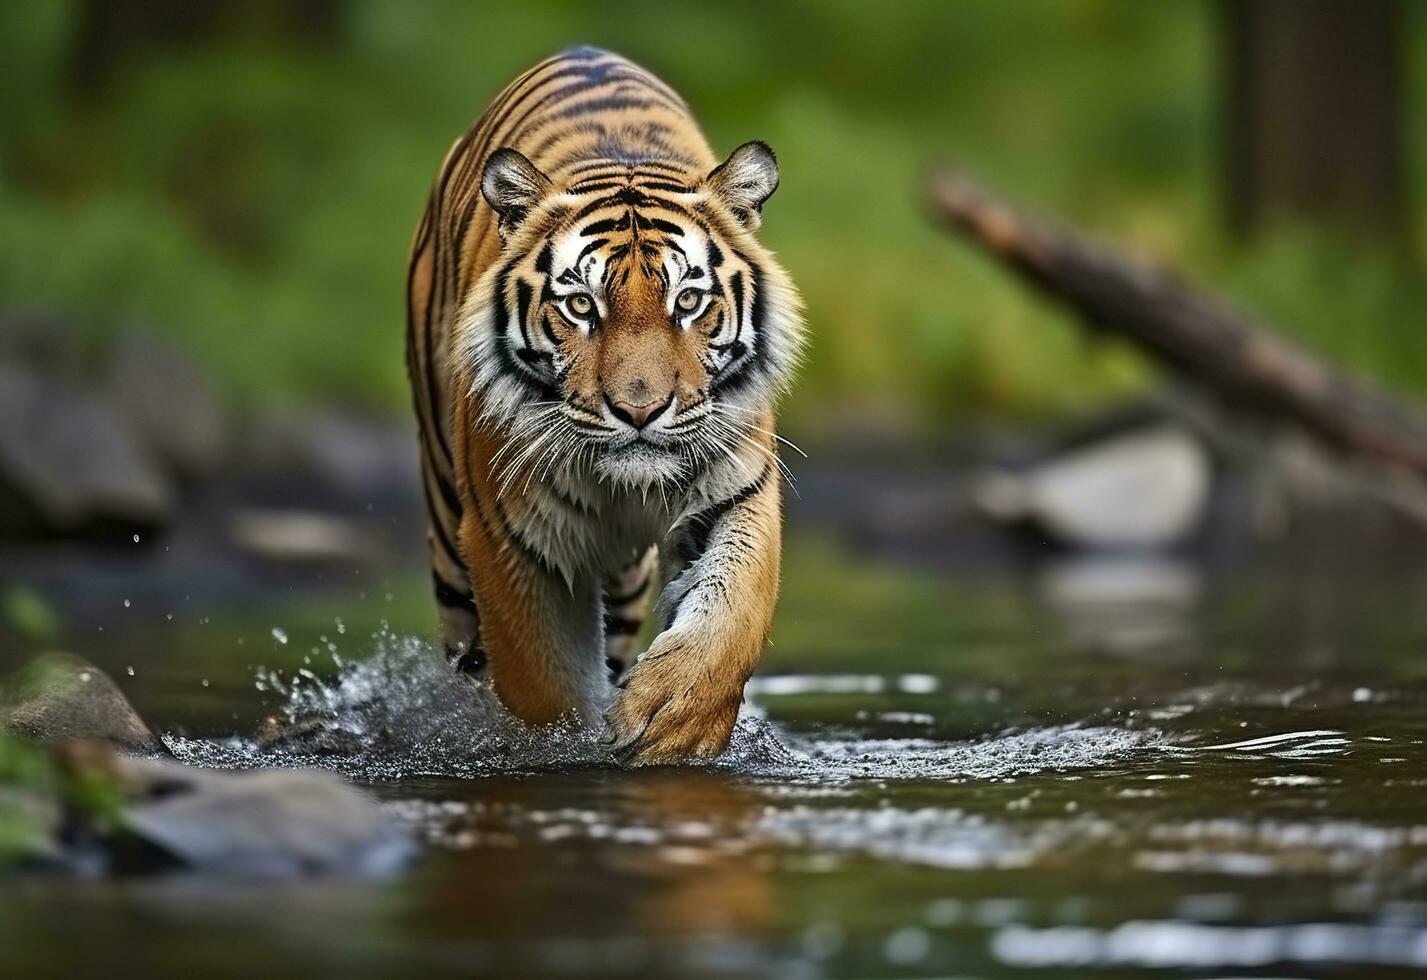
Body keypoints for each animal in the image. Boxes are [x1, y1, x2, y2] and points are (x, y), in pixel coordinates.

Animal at [405, 46, 804, 764]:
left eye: (688, 301)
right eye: (580, 306)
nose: (640, 411)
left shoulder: (740, 487)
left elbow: (731, 616)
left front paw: (673, 719)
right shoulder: (508, 534)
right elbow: (542, 682)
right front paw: (562, 747)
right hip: (448, 529)